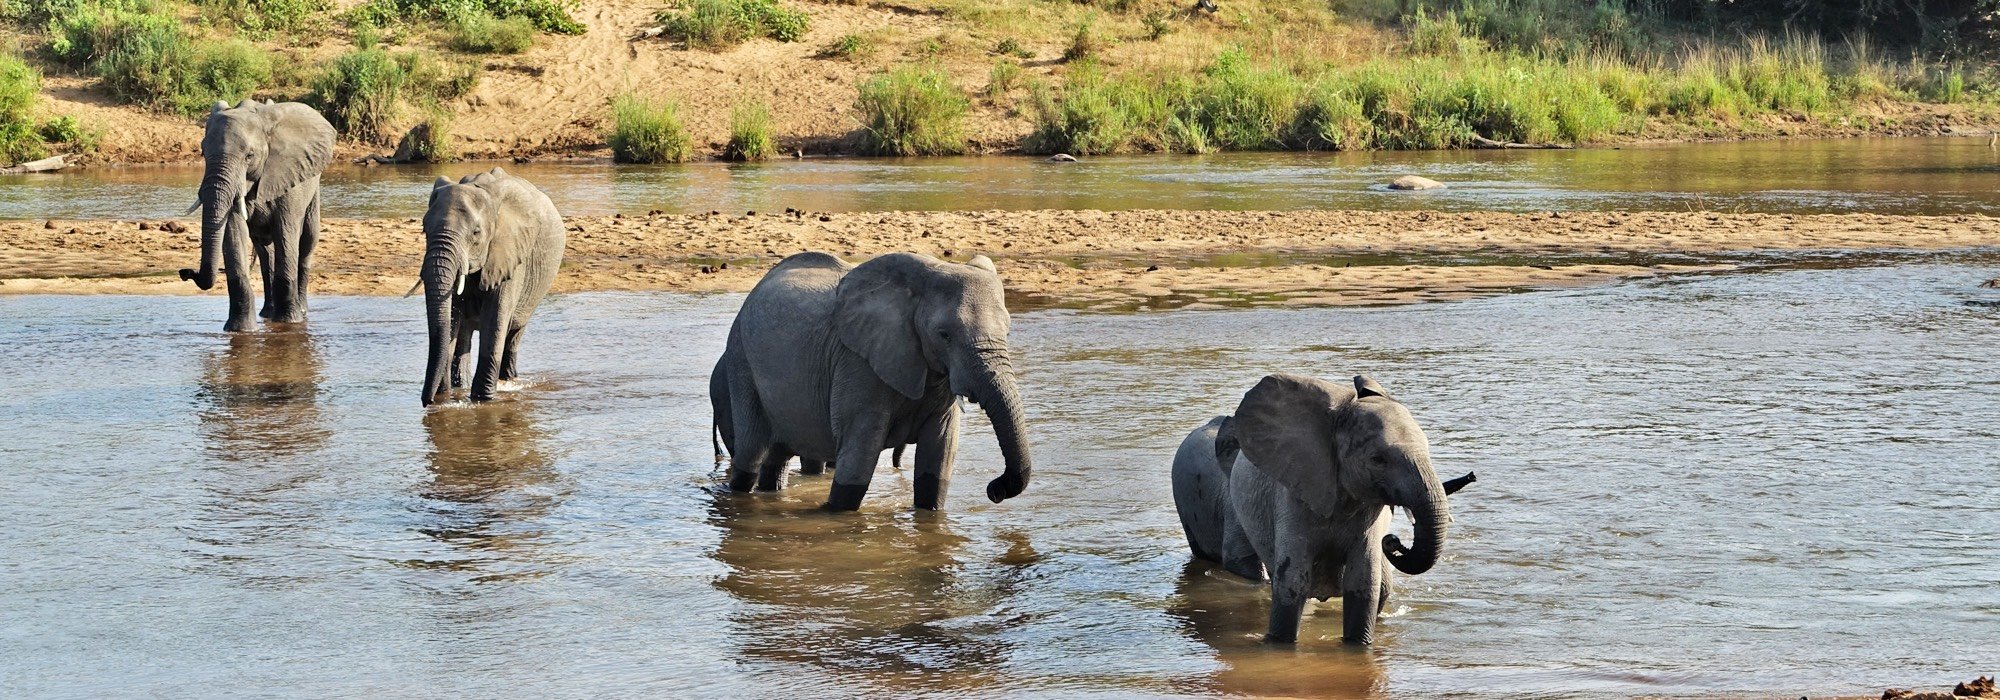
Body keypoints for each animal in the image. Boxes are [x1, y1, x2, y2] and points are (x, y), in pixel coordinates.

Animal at [181, 98, 340, 334]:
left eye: (249, 155)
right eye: (202, 153)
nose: (185, 272)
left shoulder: (289, 176)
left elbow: (286, 232)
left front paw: (288, 324)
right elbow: (234, 233)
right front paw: (240, 331)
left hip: (313, 186)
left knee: (307, 243)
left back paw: (301, 312)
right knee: (266, 254)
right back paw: (267, 313)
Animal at [418, 168, 568, 404]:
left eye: (476, 232)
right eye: (424, 229)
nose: (428, 402)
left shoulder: (511, 254)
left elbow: (495, 318)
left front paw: (483, 400)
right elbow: (451, 317)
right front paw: (446, 398)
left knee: (514, 332)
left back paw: (508, 380)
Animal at [712, 252, 1032, 508]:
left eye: (1007, 330)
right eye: (944, 335)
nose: (994, 489)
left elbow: (938, 459)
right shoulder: (856, 363)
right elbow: (859, 460)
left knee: (775, 461)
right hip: (741, 361)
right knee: (750, 456)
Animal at [1168, 372, 1472, 644]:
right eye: (1378, 459)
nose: (1392, 541)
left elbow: (1364, 581)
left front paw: (1358, 647)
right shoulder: (1290, 494)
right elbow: (1291, 579)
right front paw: (1279, 645)